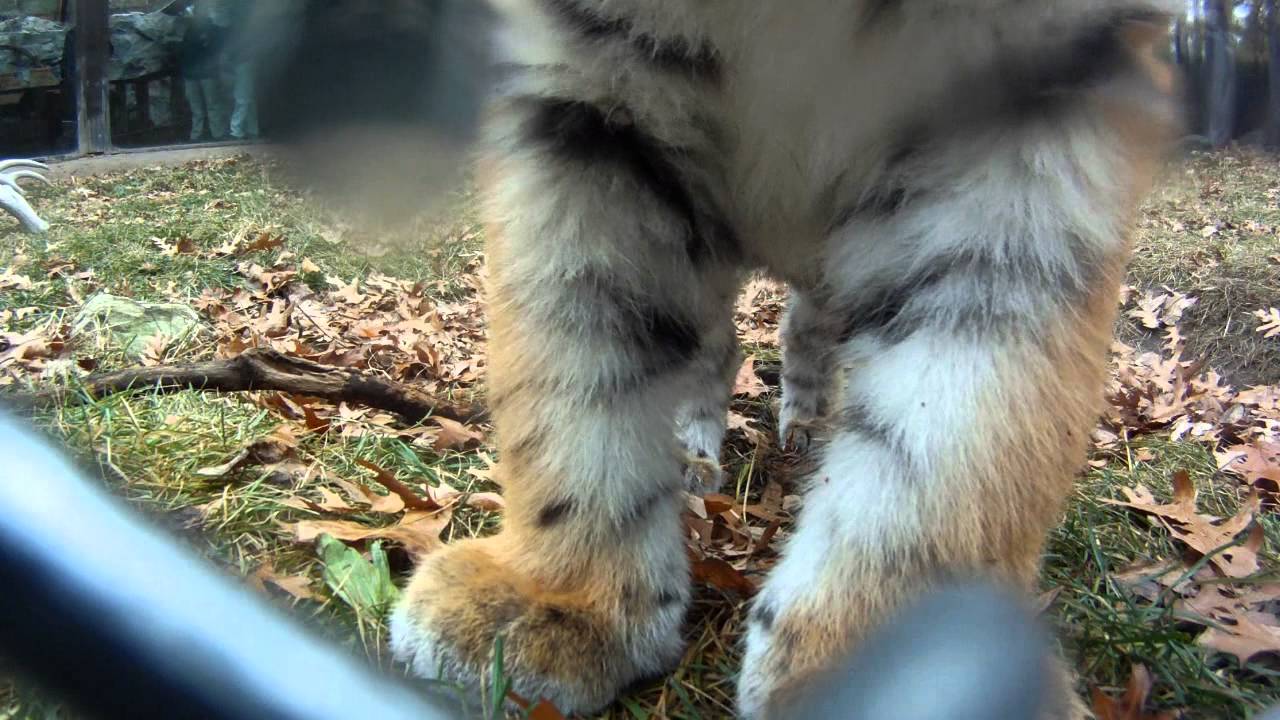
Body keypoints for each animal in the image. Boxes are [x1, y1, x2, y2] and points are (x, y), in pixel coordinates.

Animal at [387, 1, 1180, 716]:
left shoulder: (1031, 121)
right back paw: (697, 460)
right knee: (711, 357)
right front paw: (557, 598)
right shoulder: (585, 104)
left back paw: (801, 431)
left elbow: (968, 438)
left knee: (806, 343)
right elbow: (570, 364)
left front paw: (911, 666)